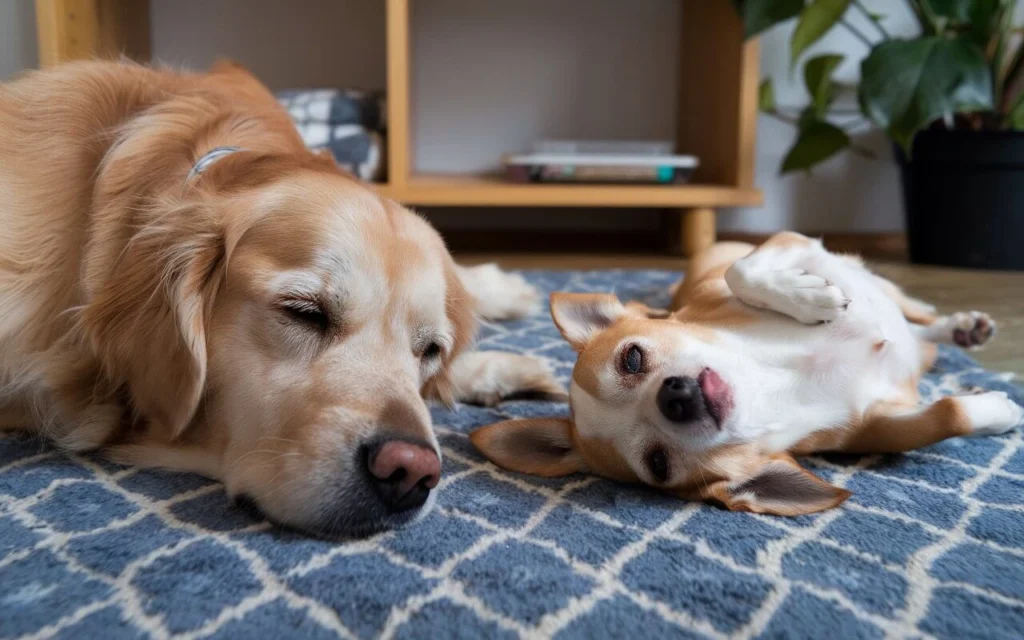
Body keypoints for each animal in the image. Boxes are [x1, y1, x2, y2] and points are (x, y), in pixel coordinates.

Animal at [473, 232, 1024, 516]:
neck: (782, 380)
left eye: (631, 358)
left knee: (912, 312)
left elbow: (744, 270)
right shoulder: (880, 426)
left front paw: (810, 298)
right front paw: (999, 408)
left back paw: (960, 324)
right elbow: (947, 415)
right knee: (921, 342)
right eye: (657, 463)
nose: (675, 397)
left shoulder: (788, 244)